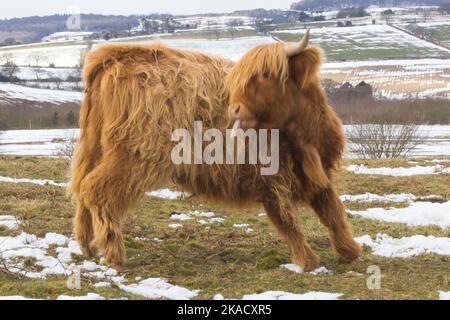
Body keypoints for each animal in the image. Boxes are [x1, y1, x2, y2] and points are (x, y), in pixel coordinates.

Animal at [70, 31, 362, 272]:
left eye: (266, 74)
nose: (233, 109)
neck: (301, 134)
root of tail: (116, 57)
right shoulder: (268, 179)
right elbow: (287, 220)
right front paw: (307, 261)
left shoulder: (317, 173)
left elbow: (333, 212)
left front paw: (350, 251)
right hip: (134, 155)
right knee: (97, 190)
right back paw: (113, 254)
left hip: (93, 146)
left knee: (81, 187)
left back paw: (87, 245)